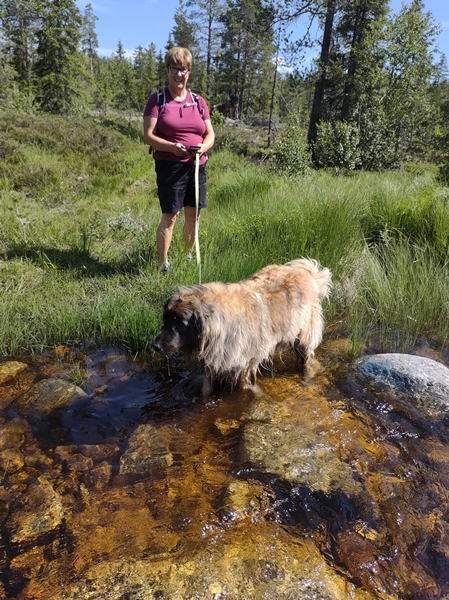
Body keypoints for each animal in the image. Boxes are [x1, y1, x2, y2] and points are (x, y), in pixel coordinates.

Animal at [152, 256, 330, 390]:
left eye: (180, 325)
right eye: (165, 320)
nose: (154, 345)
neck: (222, 324)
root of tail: (307, 274)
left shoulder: (243, 369)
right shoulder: (214, 366)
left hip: (303, 338)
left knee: (307, 357)